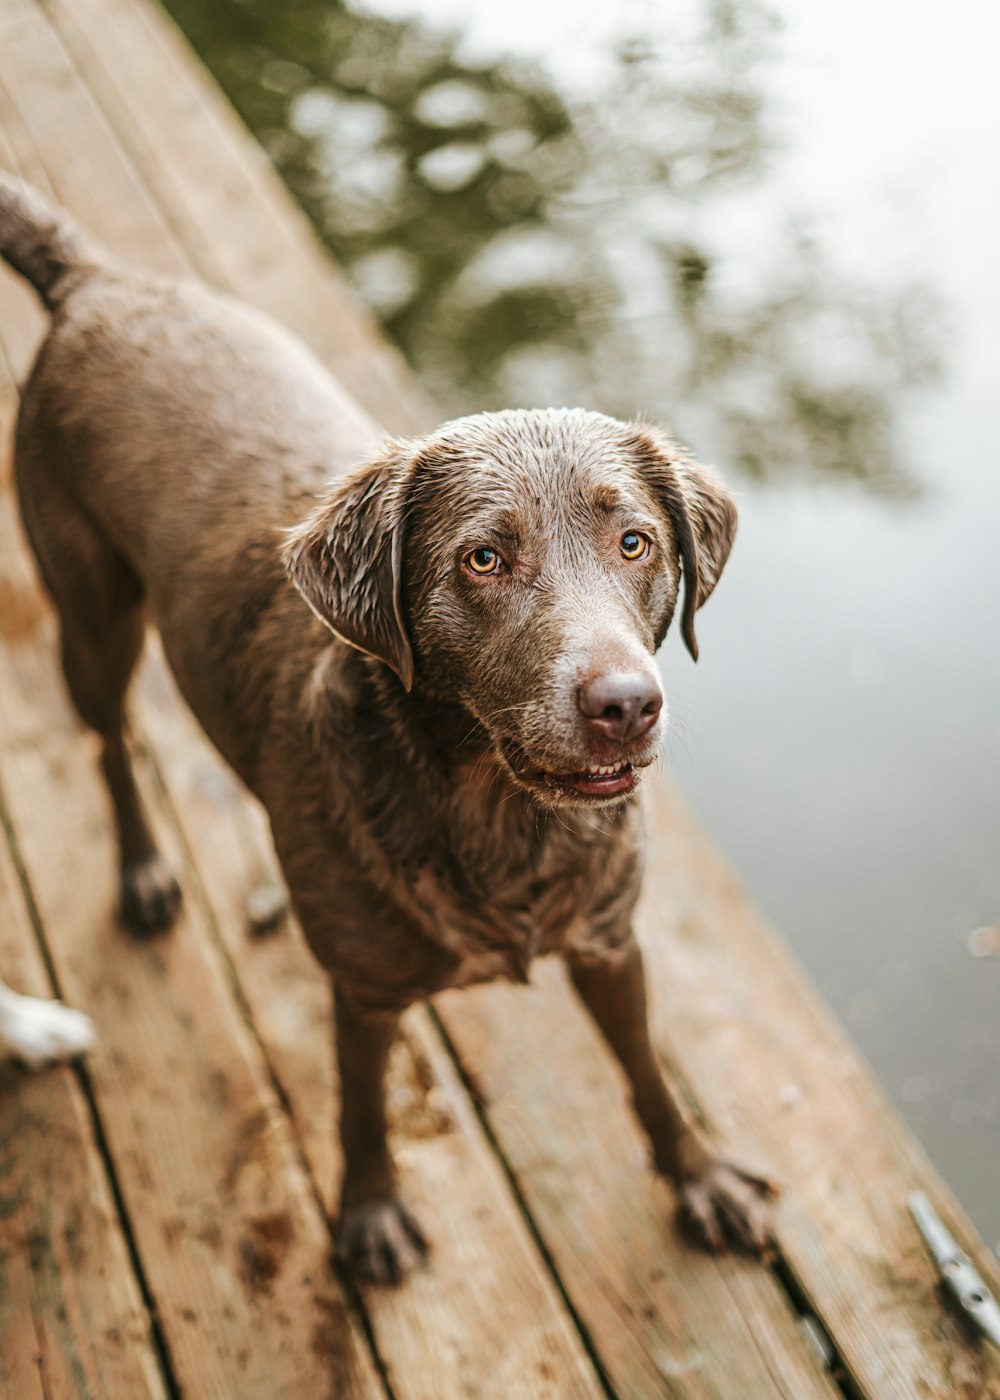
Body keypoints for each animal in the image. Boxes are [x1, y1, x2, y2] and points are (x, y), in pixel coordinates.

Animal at [0, 172, 773, 1282]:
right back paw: (143, 873)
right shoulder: (362, 990)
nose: (626, 704)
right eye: (483, 559)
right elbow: (361, 1105)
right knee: (109, 743)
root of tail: (97, 281)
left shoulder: (607, 940)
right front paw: (369, 1213)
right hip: (91, 613)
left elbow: (648, 1073)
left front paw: (699, 1177)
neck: (495, 813)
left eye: (636, 542)